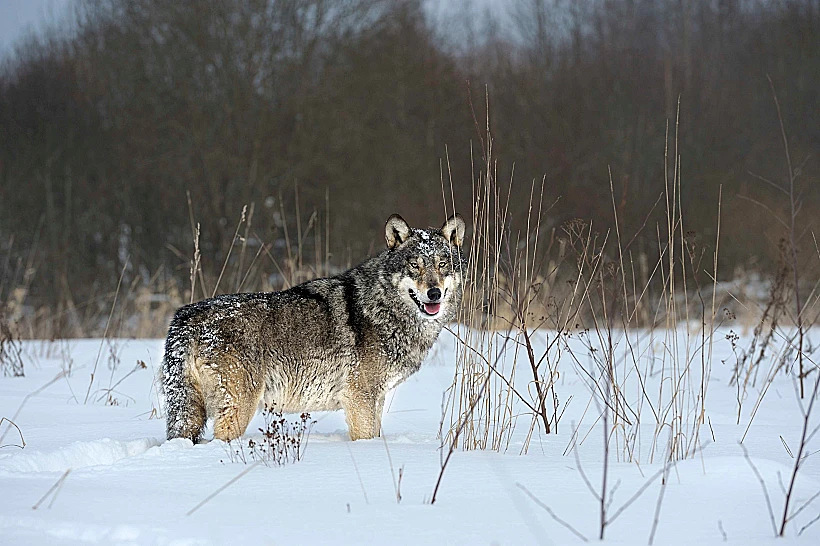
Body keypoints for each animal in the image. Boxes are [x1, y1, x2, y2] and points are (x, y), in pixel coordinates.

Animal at [161, 213, 466, 442]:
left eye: (442, 264)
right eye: (414, 265)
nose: (434, 293)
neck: (382, 307)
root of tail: (186, 315)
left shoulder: (376, 398)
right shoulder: (360, 399)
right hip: (238, 409)